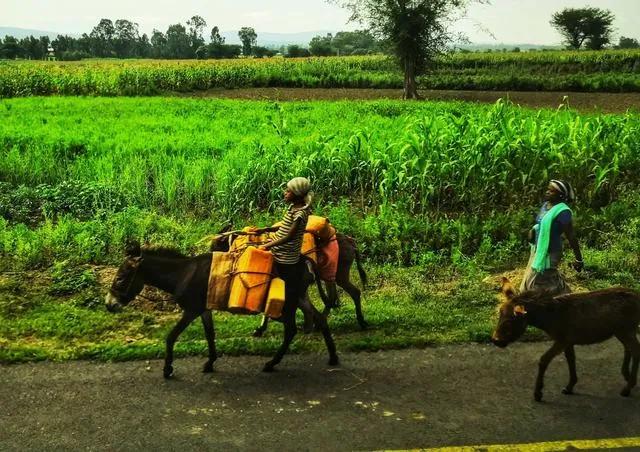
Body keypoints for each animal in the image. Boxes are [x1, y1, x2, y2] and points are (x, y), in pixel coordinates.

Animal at [492, 278, 636, 400]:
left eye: (511, 319)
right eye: (500, 312)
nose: (495, 340)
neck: (546, 321)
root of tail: (637, 297)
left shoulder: (562, 339)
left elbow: (543, 360)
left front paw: (538, 393)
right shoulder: (569, 340)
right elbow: (570, 360)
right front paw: (570, 386)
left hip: (625, 330)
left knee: (635, 351)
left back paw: (628, 387)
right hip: (624, 330)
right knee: (629, 349)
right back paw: (627, 376)